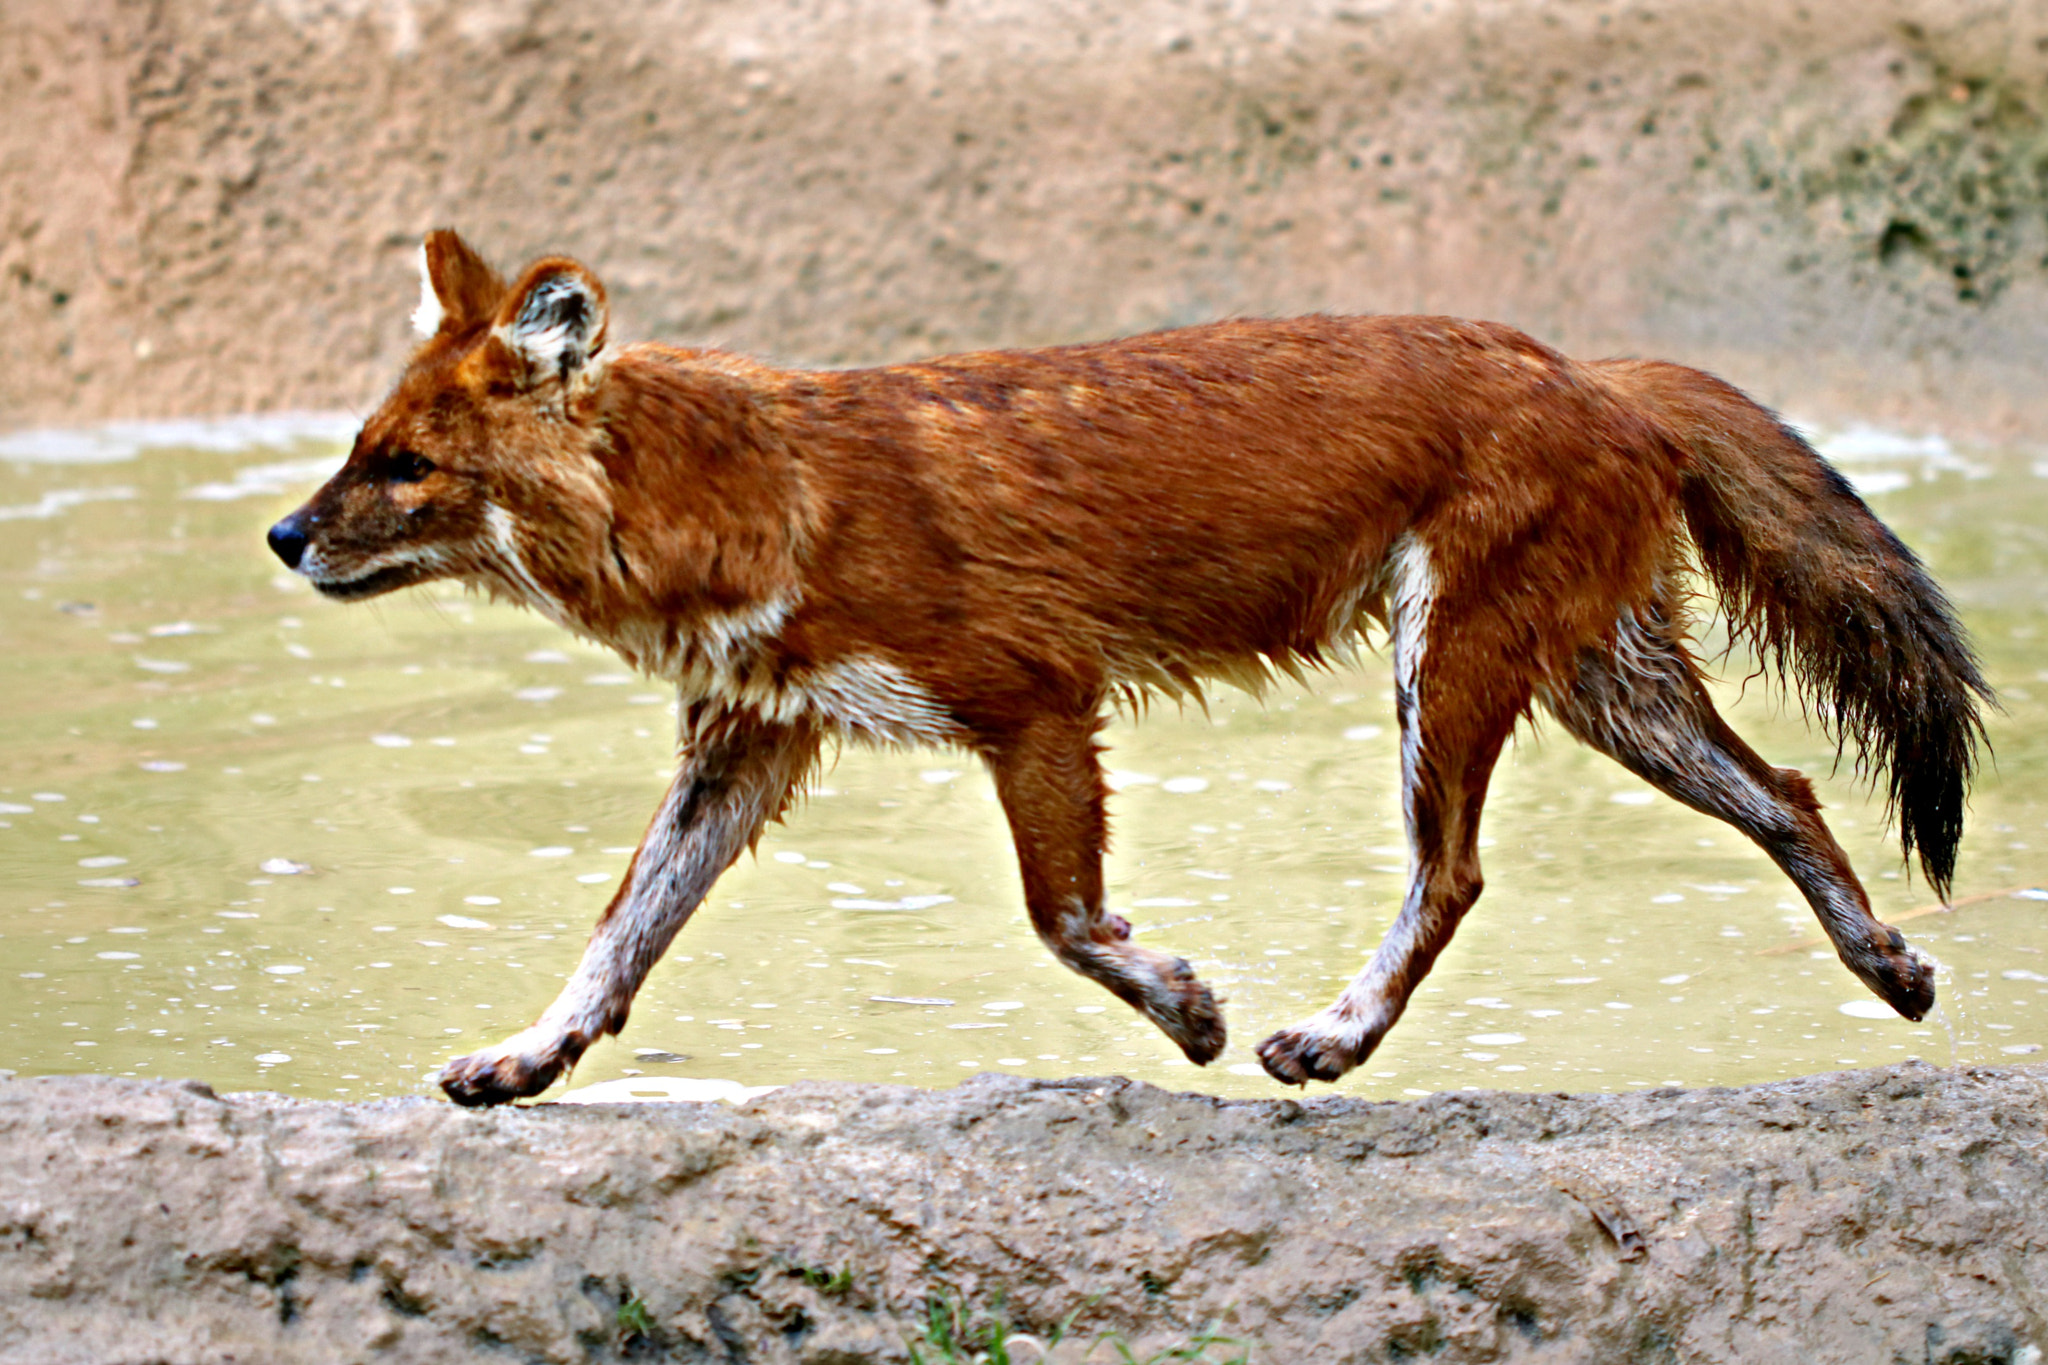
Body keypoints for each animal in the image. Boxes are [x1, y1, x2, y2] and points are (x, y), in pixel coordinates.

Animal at [268, 230, 1991, 1108]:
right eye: (361, 444)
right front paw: (523, 1059)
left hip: (1453, 660)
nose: (284, 534)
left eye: (406, 466)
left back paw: (1330, 1037)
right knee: (1785, 789)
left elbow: (1065, 919)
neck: (756, 495)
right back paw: (1893, 970)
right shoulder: (745, 745)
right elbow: (619, 937)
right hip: (1598, 676)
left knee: (1454, 872)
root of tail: (1595, 366)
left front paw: (1193, 1017)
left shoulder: (1035, 698)